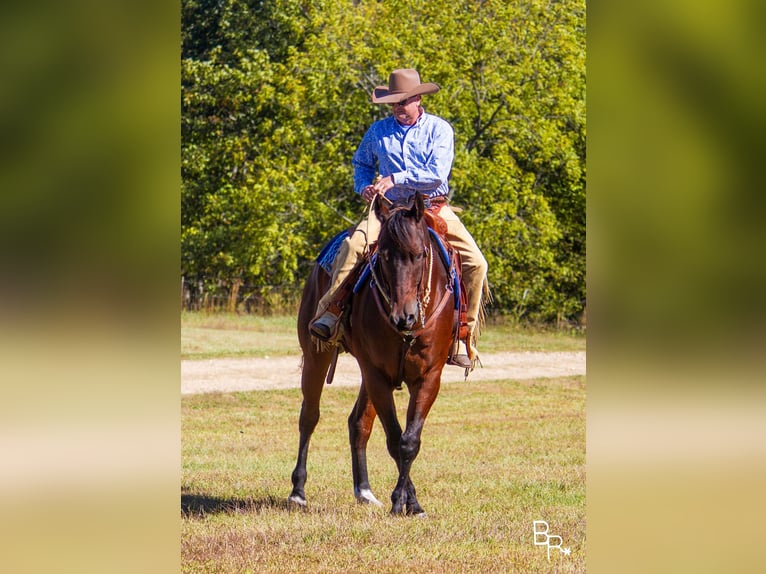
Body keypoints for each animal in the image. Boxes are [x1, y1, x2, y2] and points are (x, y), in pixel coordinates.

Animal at [288, 194, 456, 516]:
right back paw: (298, 491)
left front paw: (411, 503)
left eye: (420, 255)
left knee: (358, 424)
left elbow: (409, 441)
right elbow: (394, 439)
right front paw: (401, 500)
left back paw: (364, 491)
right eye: (384, 257)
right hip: (318, 355)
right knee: (309, 417)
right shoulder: (377, 374)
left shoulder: (429, 377)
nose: (404, 316)